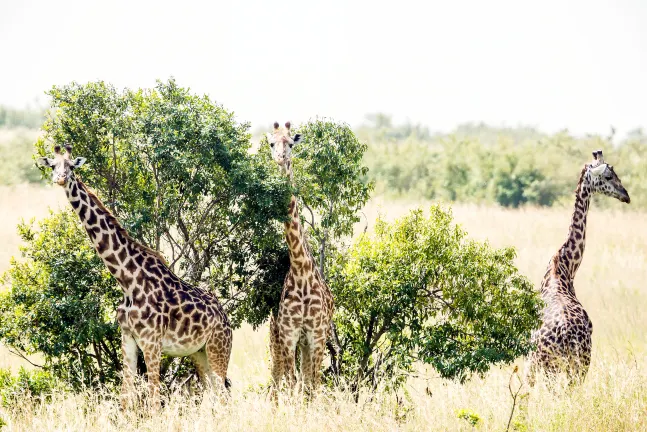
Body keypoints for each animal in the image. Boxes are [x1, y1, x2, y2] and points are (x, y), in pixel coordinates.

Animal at [36, 144, 234, 408]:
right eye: (53, 165)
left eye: (71, 166)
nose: (60, 178)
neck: (127, 281)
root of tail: (226, 318)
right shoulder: (128, 338)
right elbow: (126, 396)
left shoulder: (151, 342)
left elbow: (153, 400)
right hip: (198, 353)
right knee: (214, 395)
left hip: (218, 347)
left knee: (223, 395)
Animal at [528, 150, 632, 386]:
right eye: (609, 176)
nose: (626, 195)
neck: (565, 267)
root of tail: (567, 336)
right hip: (563, 366)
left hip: (564, 366)